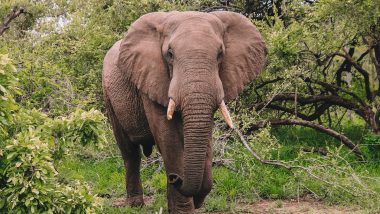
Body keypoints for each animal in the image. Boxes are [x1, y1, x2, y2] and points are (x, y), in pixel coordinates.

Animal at [102, 10, 266, 214]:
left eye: (220, 54)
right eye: (170, 54)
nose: (174, 178)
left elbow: (205, 139)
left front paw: (194, 200)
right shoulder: (151, 78)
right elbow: (168, 136)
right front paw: (184, 209)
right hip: (108, 95)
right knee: (130, 153)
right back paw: (135, 205)